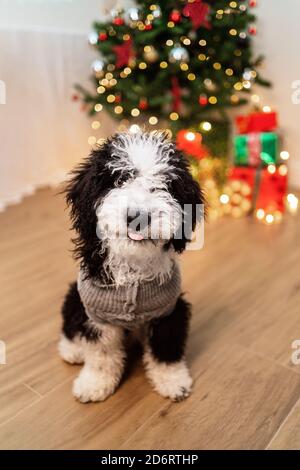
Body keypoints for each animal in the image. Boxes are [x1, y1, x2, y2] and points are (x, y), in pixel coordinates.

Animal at [58, 130, 204, 402]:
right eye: (118, 180)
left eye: (163, 185)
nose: (138, 216)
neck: (134, 270)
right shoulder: (97, 318)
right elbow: (101, 356)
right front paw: (95, 383)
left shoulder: (168, 311)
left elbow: (166, 349)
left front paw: (173, 381)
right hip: (75, 296)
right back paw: (71, 350)